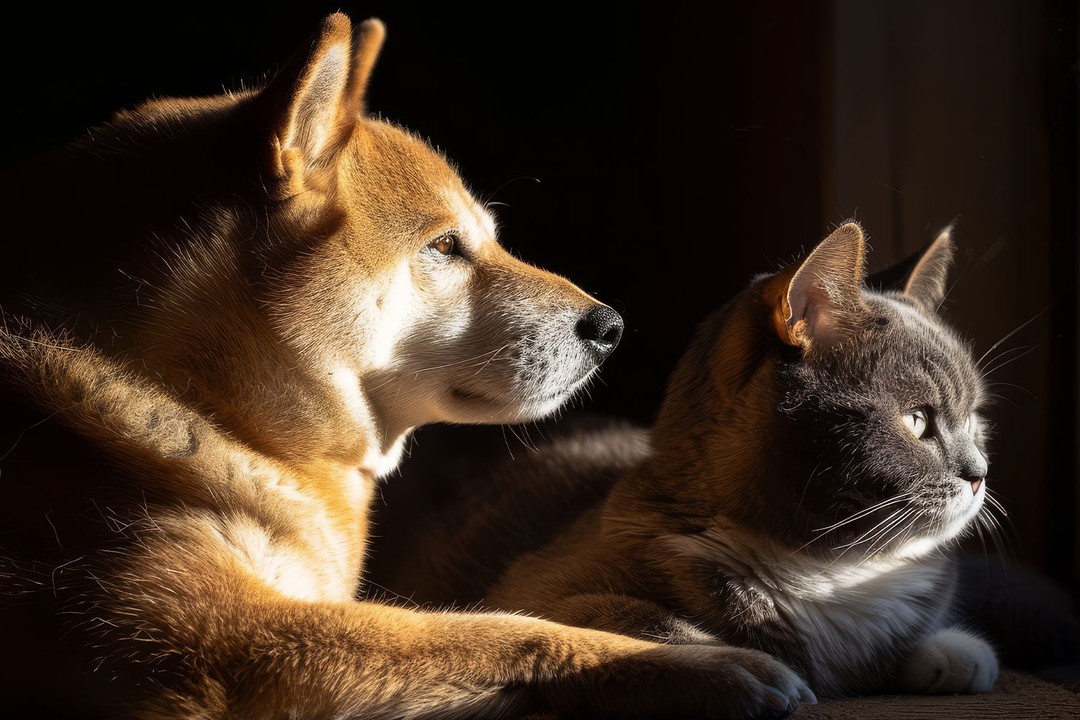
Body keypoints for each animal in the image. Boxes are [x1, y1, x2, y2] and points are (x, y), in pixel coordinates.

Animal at [0, 12, 812, 720]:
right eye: (446, 247)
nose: (611, 327)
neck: (192, 399)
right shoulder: (213, 640)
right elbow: (492, 627)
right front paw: (690, 664)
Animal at [382, 221, 1002, 699]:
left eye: (975, 419)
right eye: (917, 420)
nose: (978, 475)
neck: (832, 573)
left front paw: (954, 652)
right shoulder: (532, 590)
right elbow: (630, 619)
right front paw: (747, 670)